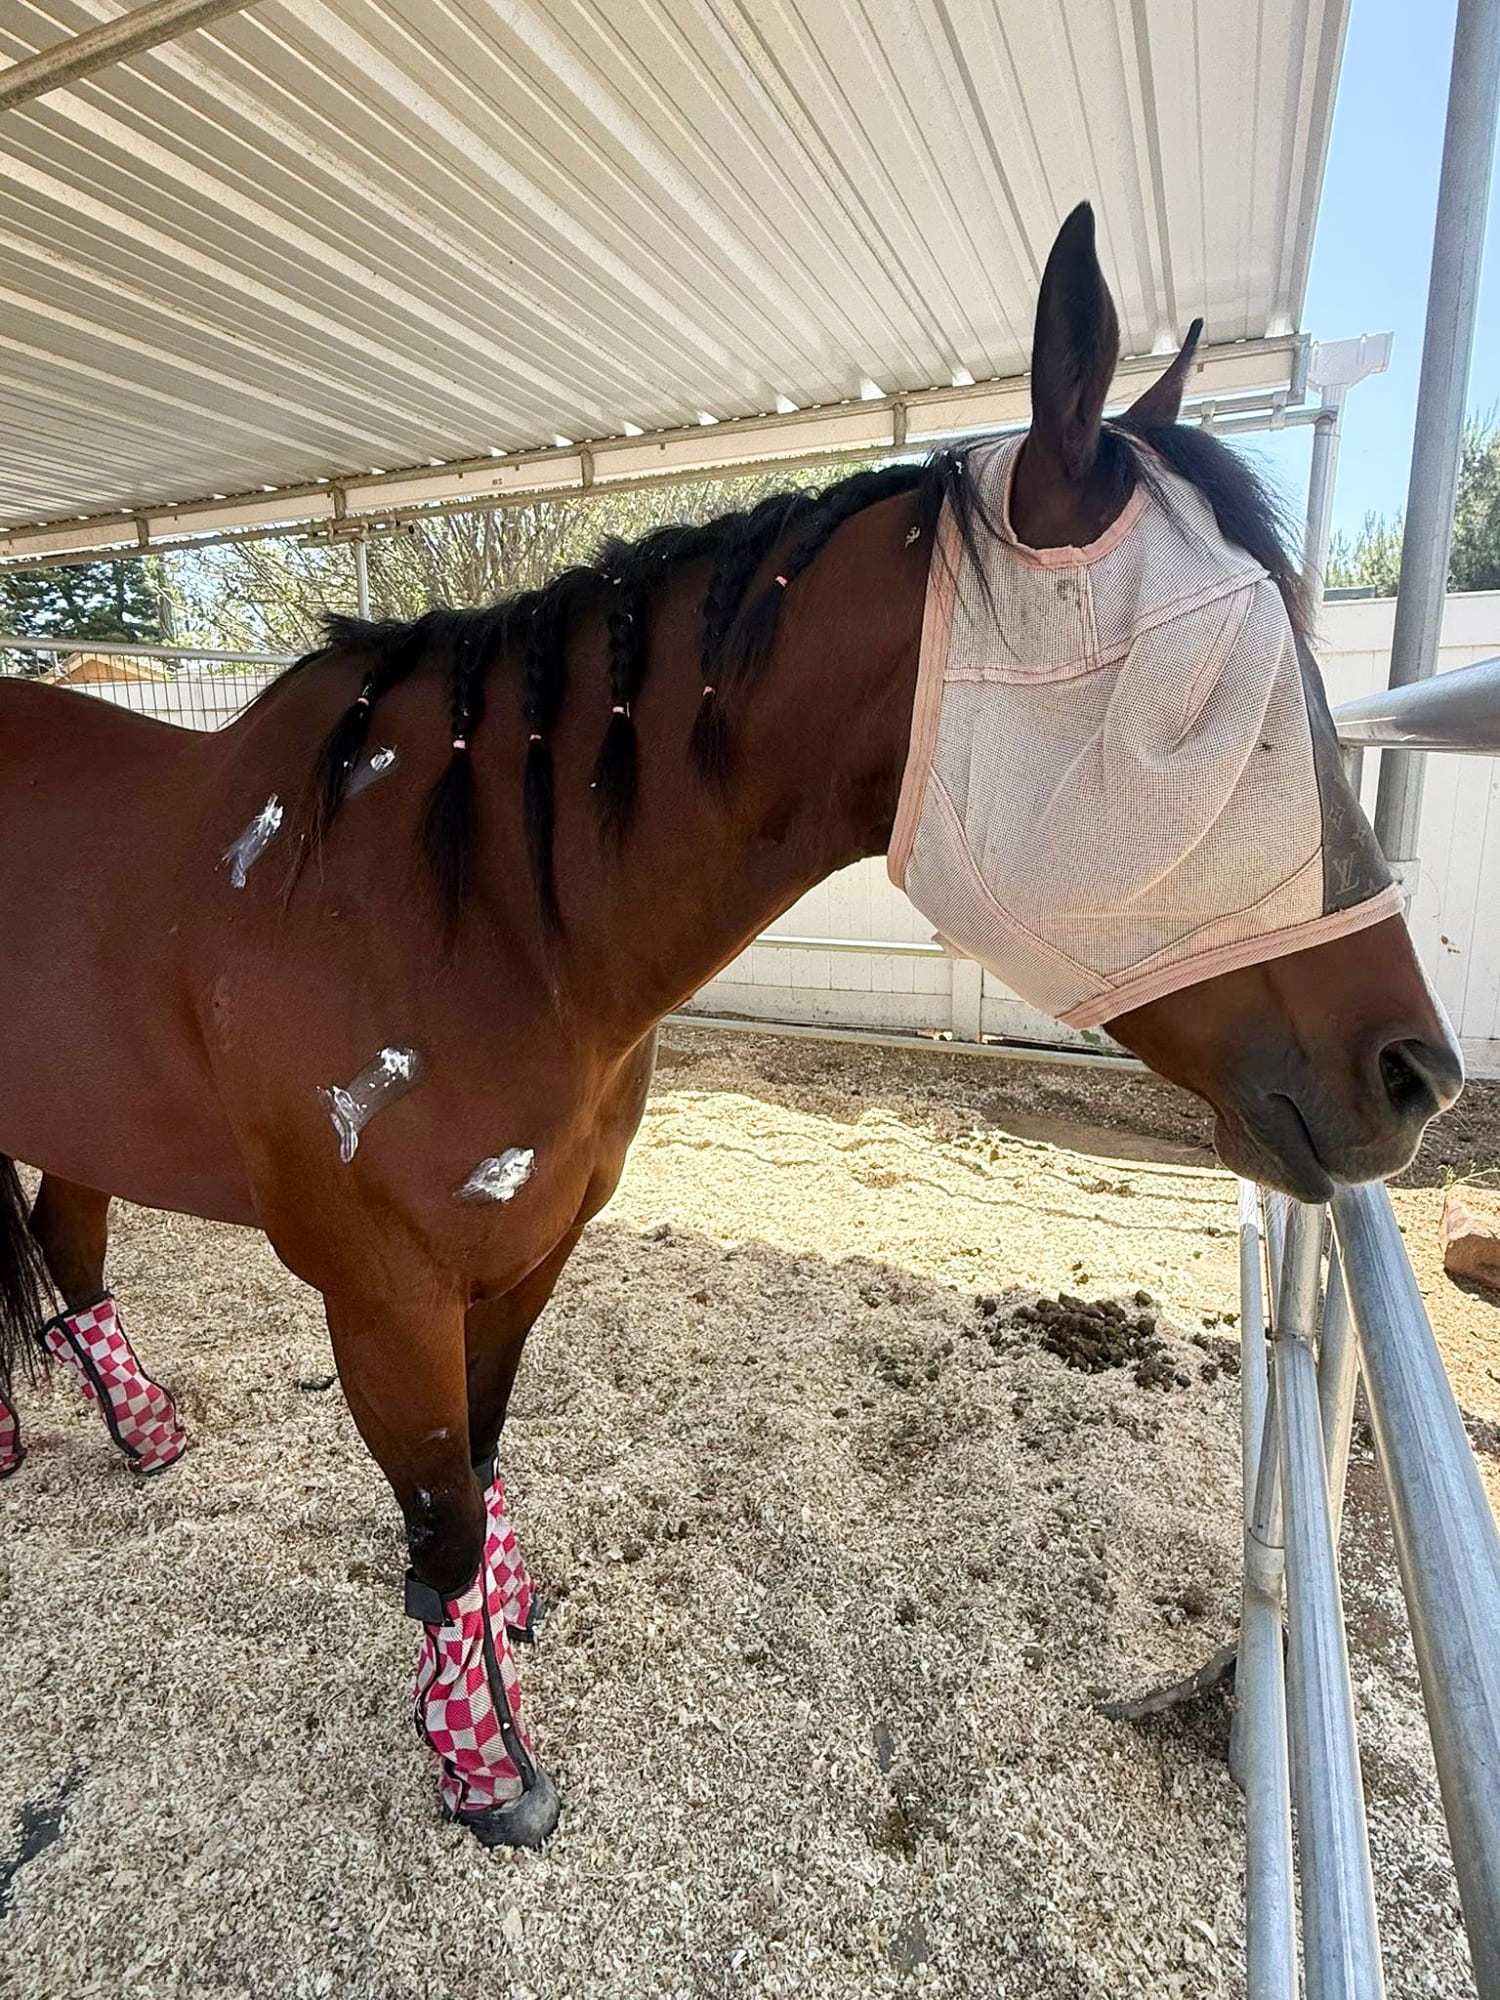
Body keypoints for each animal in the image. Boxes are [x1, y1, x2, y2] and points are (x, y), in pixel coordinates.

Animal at [0, 205, 1462, 1848]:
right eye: (1198, 698)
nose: (1415, 1076)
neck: (455, 907)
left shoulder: (527, 1257)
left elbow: (486, 1474)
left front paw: (507, 1646)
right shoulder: (382, 1299)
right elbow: (439, 1520)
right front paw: (487, 1773)